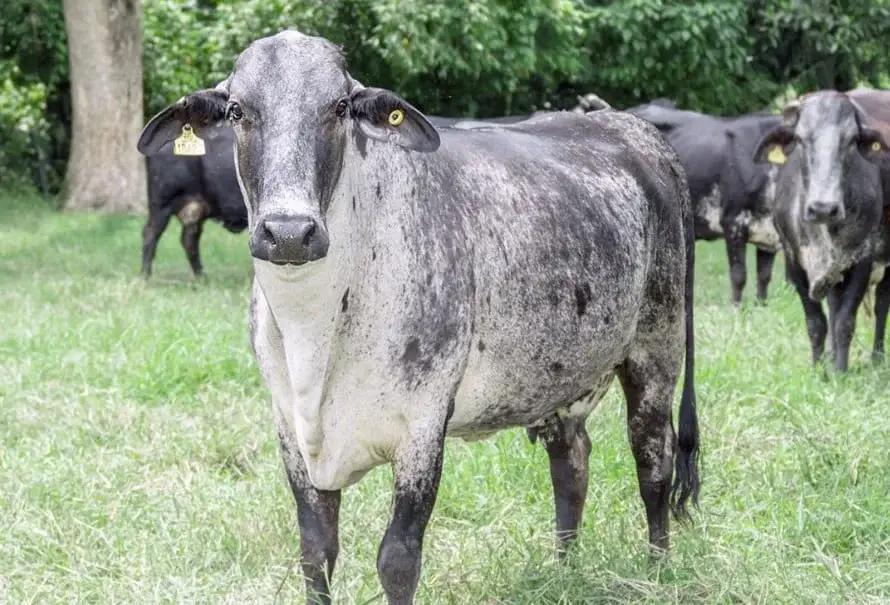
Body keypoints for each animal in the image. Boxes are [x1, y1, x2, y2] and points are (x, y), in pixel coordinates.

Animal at [141, 121, 247, 278]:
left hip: (195, 209)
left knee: (189, 239)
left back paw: (202, 277)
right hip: (161, 203)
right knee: (150, 233)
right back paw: (144, 277)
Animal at [626, 102, 782, 305]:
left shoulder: (768, 235)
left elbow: (764, 277)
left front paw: (760, 306)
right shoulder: (733, 222)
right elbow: (739, 275)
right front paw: (736, 308)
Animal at [753, 89, 890, 371]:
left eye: (851, 140)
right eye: (800, 139)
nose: (823, 208)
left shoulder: (863, 260)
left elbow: (845, 322)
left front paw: (840, 372)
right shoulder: (794, 261)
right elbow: (817, 323)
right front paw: (819, 370)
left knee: (882, 304)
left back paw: (877, 357)